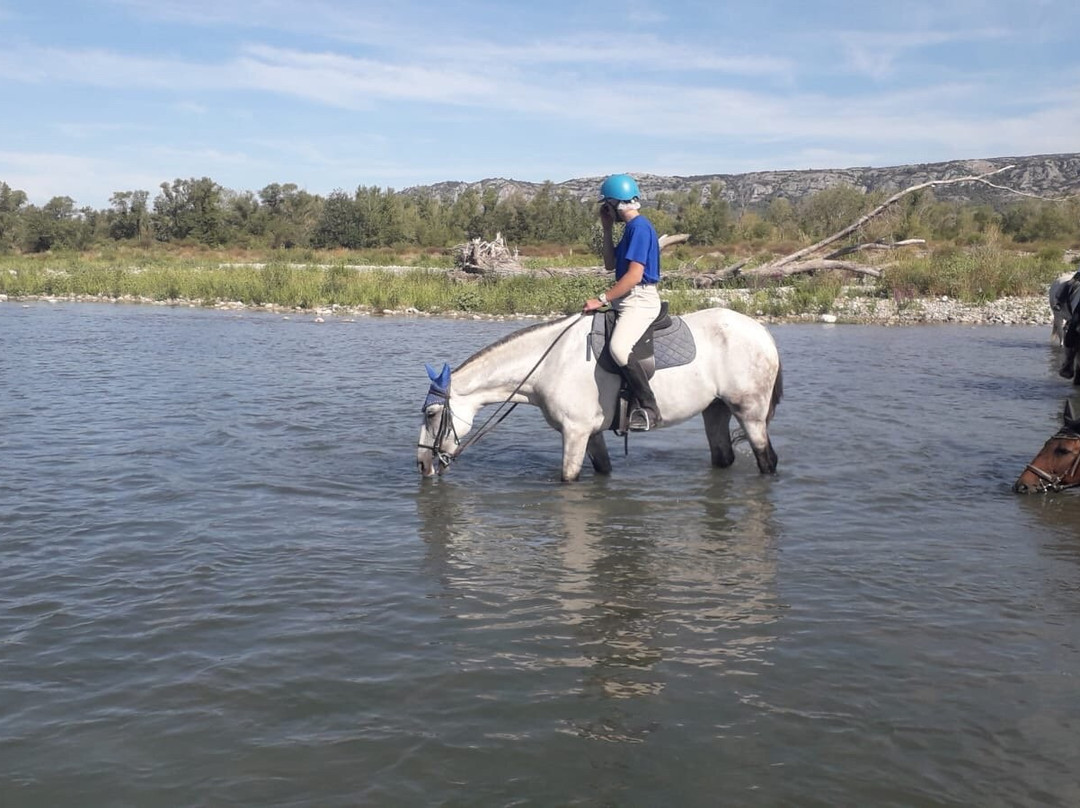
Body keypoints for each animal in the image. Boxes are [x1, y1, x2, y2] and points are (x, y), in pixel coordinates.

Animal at [416, 306, 781, 486]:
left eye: (431, 414)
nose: (422, 464)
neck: (550, 362)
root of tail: (761, 332)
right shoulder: (589, 434)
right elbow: (602, 471)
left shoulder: (575, 433)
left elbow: (568, 479)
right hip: (715, 409)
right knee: (723, 458)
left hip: (749, 412)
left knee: (767, 460)